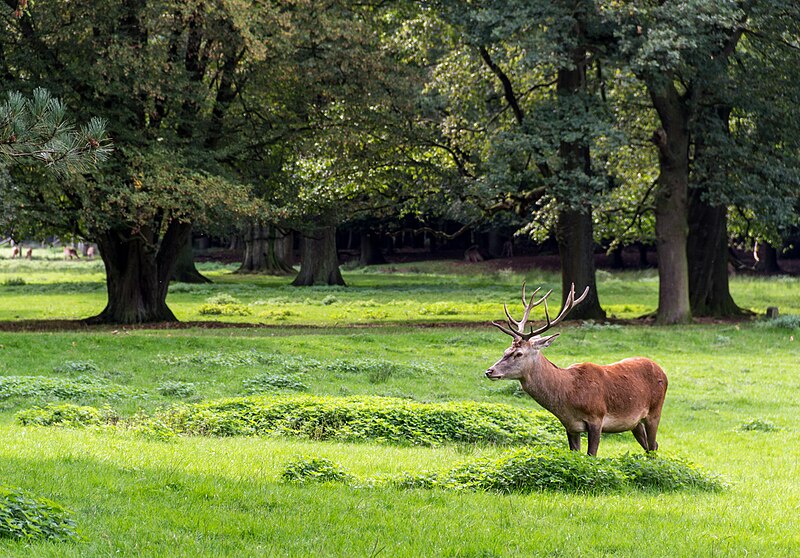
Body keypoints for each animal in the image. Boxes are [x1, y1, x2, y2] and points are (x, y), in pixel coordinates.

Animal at [488, 282, 668, 458]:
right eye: (505, 351)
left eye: (519, 354)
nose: (490, 371)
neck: (568, 395)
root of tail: (662, 372)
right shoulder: (571, 426)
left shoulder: (597, 417)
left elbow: (591, 455)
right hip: (634, 422)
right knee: (651, 446)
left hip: (655, 411)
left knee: (653, 446)